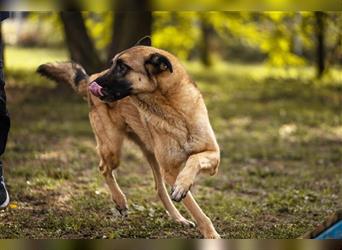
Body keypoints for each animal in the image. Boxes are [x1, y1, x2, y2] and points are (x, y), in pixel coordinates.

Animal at [36, 36, 220, 238]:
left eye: (122, 67)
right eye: (113, 64)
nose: (94, 86)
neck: (173, 110)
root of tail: (91, 75)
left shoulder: (213, 156)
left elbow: (194, 160)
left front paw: (183, 186)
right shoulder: (170, 171)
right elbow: (195, 208)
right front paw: (211, 233)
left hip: (150, 156)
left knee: (159, 189)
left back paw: (178, 218)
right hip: (113, 149)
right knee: (104, 168)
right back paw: (120, 201)